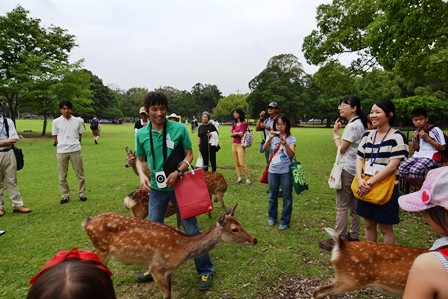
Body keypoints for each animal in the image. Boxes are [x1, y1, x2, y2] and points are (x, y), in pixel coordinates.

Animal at [82, 204, 258, 299]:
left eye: (240, 223)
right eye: (234, 229)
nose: (254, 239)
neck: (181, 249)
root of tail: (85, 222)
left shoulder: (169, 271)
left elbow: (171, 292)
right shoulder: (156, 267)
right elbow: (166, 295)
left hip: (100, 248)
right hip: (102, 248)